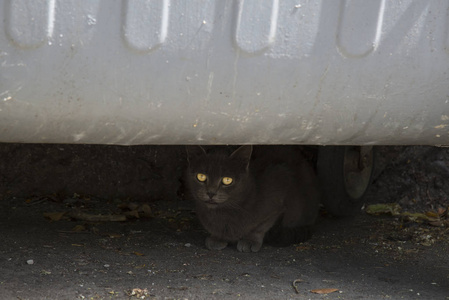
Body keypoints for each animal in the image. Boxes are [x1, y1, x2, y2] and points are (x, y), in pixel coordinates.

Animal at [185, 146, 318, 252]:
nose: (211, 193)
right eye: (201, 177)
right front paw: (216, 237)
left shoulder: (278, 194)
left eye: (227, 180)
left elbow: (261, 226)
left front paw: (250, 240)